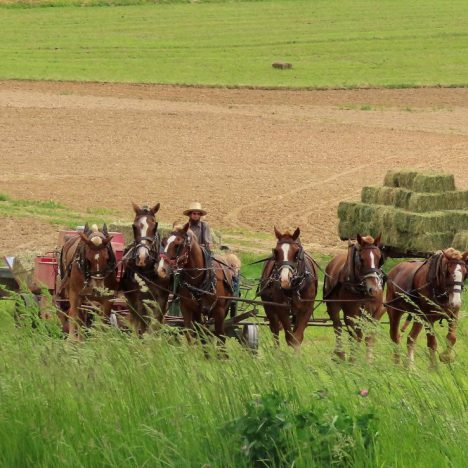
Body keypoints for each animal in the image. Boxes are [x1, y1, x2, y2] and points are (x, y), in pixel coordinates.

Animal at [120, 203, 170, 334]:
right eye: (134, 226)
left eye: (154, 226)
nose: (142, 257)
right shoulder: (139, 298)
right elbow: (141, 322)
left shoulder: (162, 299)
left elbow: (156, 323)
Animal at [324, 234, 386, 362]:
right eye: (361, 259)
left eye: (379, 258)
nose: (374, 289)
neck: (362, 289)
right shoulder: (351, 312)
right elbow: (354, 335)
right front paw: (352, 360)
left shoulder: (377, 311)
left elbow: (369, 335)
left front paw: (369, 361)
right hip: (333, 305)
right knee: (337, 326)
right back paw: (340, 353)